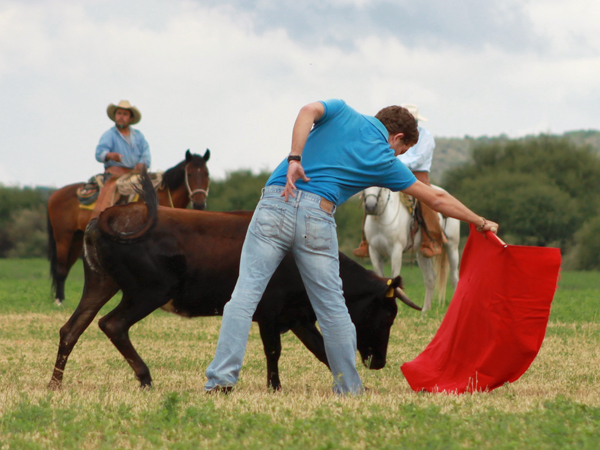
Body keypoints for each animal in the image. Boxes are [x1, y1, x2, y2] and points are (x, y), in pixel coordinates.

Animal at [45, 149, 209, 304]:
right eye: (189, 174)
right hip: (63, 237)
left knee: (66, 267)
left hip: (77, 239)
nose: (199, 203)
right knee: (60, 268)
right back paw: (58, 301)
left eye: (207, 174)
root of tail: (54, 194)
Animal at [49, 169, 420, 390]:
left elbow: (321, 350)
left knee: (72, 329)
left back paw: (55, 384)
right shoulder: (270, 313)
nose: (380, 362)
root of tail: (111, 213)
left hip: (101, 283)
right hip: (147, 292)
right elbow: (275, 350)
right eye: (387, 316)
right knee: (112, 325)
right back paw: (145, 377)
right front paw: (275, 388)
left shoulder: (297, 317)